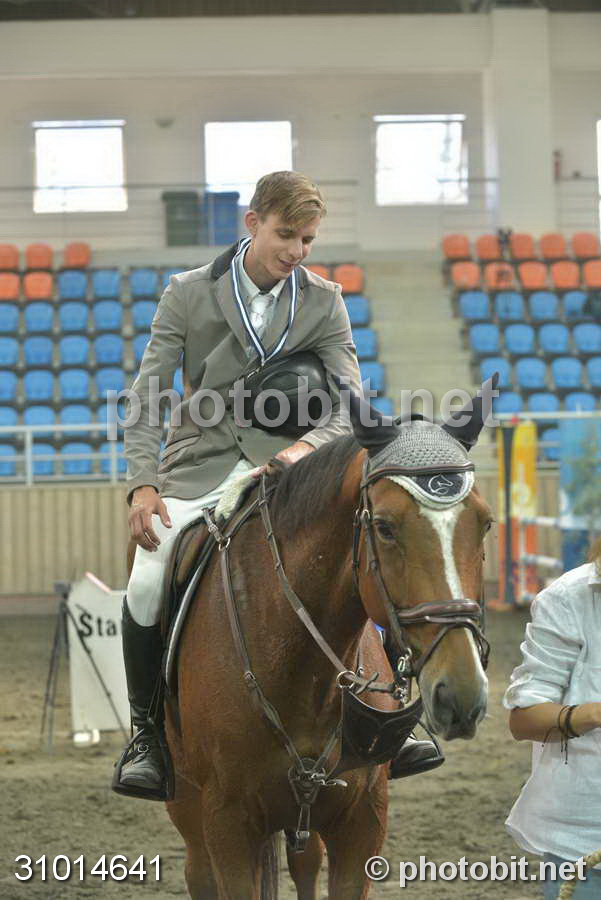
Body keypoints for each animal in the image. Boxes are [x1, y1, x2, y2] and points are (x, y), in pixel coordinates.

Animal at [163, 385, 493, 899]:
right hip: (189, 809)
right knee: (198, 872)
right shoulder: (226, 824)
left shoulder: (361, 822)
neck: (303, 673)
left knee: (304, 864)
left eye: (486, 523)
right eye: (384, 526)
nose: (460, 696)